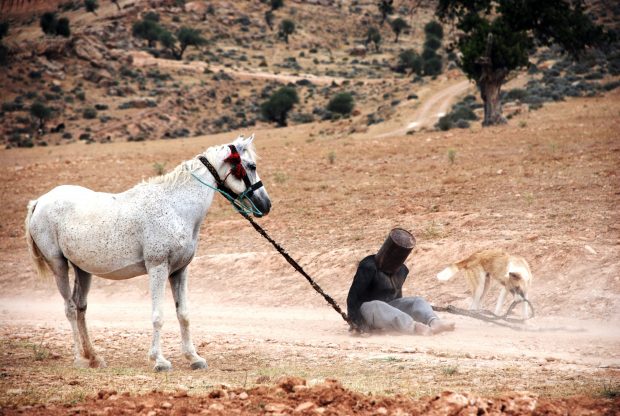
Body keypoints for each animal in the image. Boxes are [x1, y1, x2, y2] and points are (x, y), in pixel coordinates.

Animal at [23, 135, 270, 372]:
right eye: (251, 165)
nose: (266, 205)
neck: (175, 207)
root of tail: (40, 201)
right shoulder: (158, 268)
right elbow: (158, 316)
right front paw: (159, 360)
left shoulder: (179, 271)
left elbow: (184, 315)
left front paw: (193, 358)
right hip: (59, 265)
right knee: (71, 309)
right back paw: (80, 359)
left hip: (82, 269)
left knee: (81, 308)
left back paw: (93, 357)